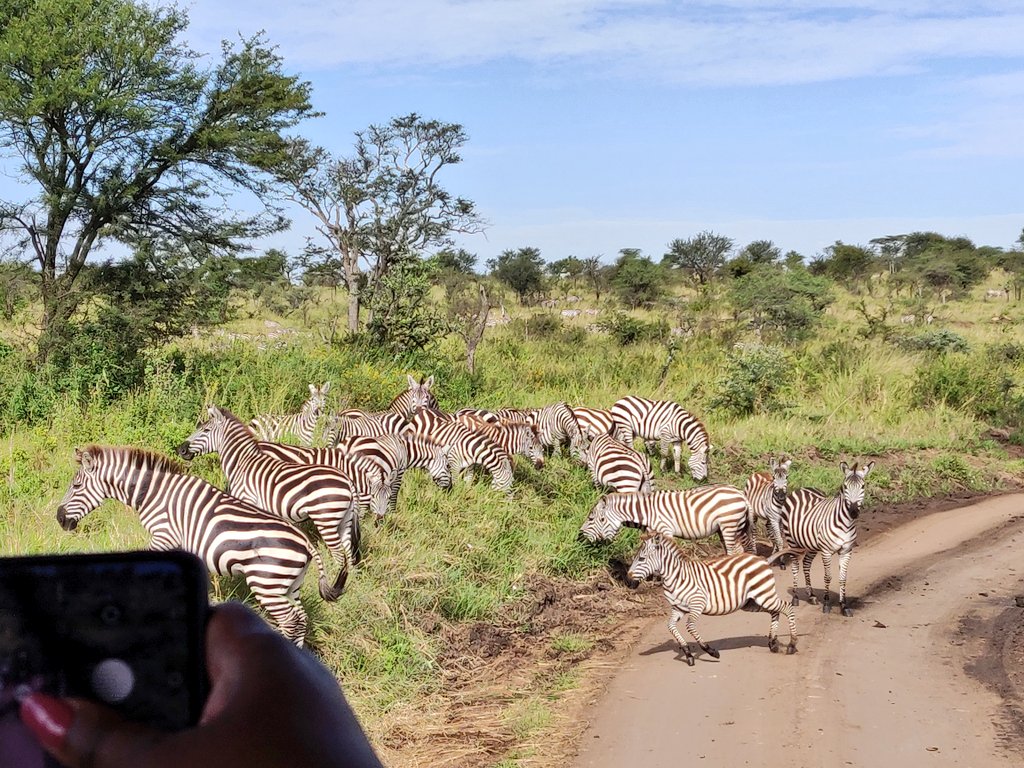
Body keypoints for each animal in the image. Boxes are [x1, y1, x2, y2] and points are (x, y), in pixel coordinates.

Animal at [56, 446, 342, 646]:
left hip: (267, 584)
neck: (153, 493)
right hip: (290, 585)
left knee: (291, 621)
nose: (59, 519)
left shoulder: (164, 536)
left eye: (76, 485)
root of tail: (306, 542)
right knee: (301, 619)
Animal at [177, 406, 361, 581]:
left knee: (339, 553)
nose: (181, 449)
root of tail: (347, 480)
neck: (242, 463)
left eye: (205, 430)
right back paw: (349, 583)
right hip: (344, 520)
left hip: (326, 518)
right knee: (348, 552)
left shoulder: (247, 500)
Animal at [578, 485, 751, 555]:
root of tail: (741, 495)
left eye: (592, 518)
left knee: (733, 550)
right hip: (724, 528)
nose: (580, 538)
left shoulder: (665, 530)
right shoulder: (651, 532)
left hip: (729, 525)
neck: (645, 512)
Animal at [627, 533, 798, 665]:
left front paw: (711, 651)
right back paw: (773, 643)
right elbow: (671, 627)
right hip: (751, 602)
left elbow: (690, 626)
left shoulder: (697, 603)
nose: (628, 582)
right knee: (775, 612)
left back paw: (792, 645)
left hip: (764, 595)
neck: (675, 576)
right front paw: (688, 654)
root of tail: (763, 560)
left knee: (787, 607)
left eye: (641, 559)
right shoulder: (678, 608)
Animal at [780, 461, 873, 616]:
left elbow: (842, 577)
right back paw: (795, 598)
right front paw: (826, 604)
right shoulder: (827, 551)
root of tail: (802, 488)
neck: (846, 524)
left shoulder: (846, 551)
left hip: (811, 544)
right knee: (795, 566)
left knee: (806, 563)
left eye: (863, 486)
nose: (853, 512)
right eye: (845, 487)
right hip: (792, 541)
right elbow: (828, 577)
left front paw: (844, 606)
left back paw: (811, 596)